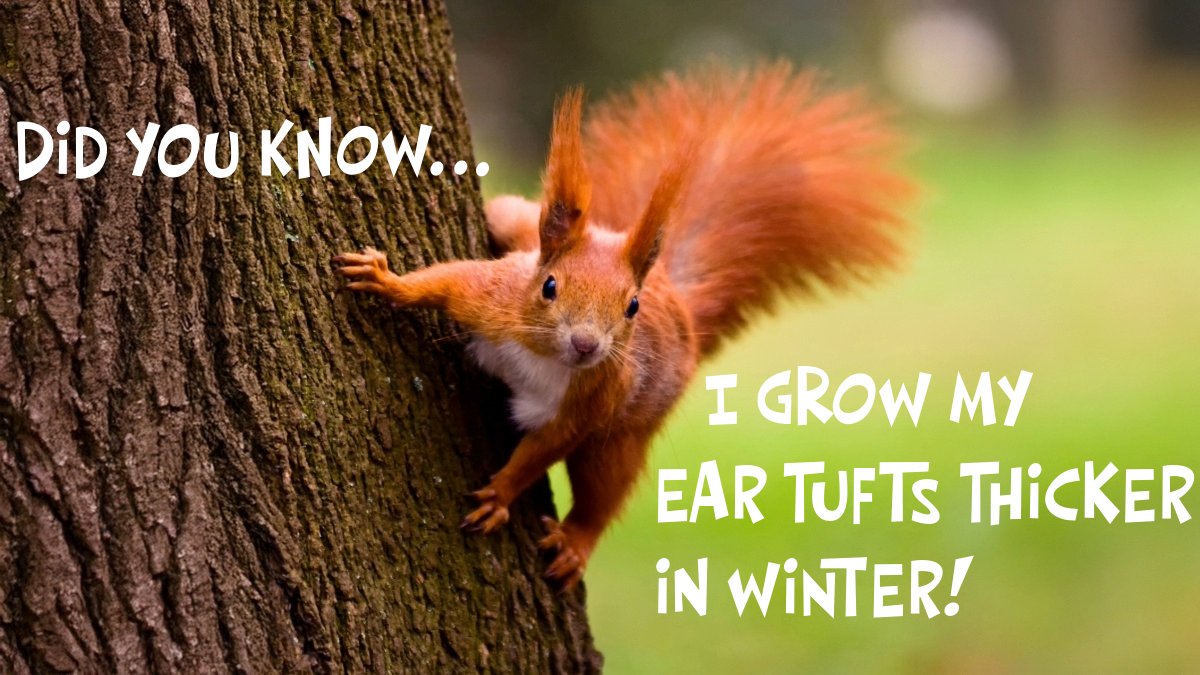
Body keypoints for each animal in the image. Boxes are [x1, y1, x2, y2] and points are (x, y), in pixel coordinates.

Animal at [334, 63, 911, 589]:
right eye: (549, 287)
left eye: (631, 307)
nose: (586, 345)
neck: (543, 356)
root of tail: (679, 304)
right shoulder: (492, 299)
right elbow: (445, 281)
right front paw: (386, 280)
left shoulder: (592, 402)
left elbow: (542, 450)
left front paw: (501, 495)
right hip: (517, 225)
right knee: (508, 216)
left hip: (625, 434)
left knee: (603, 489)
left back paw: (576, 542)